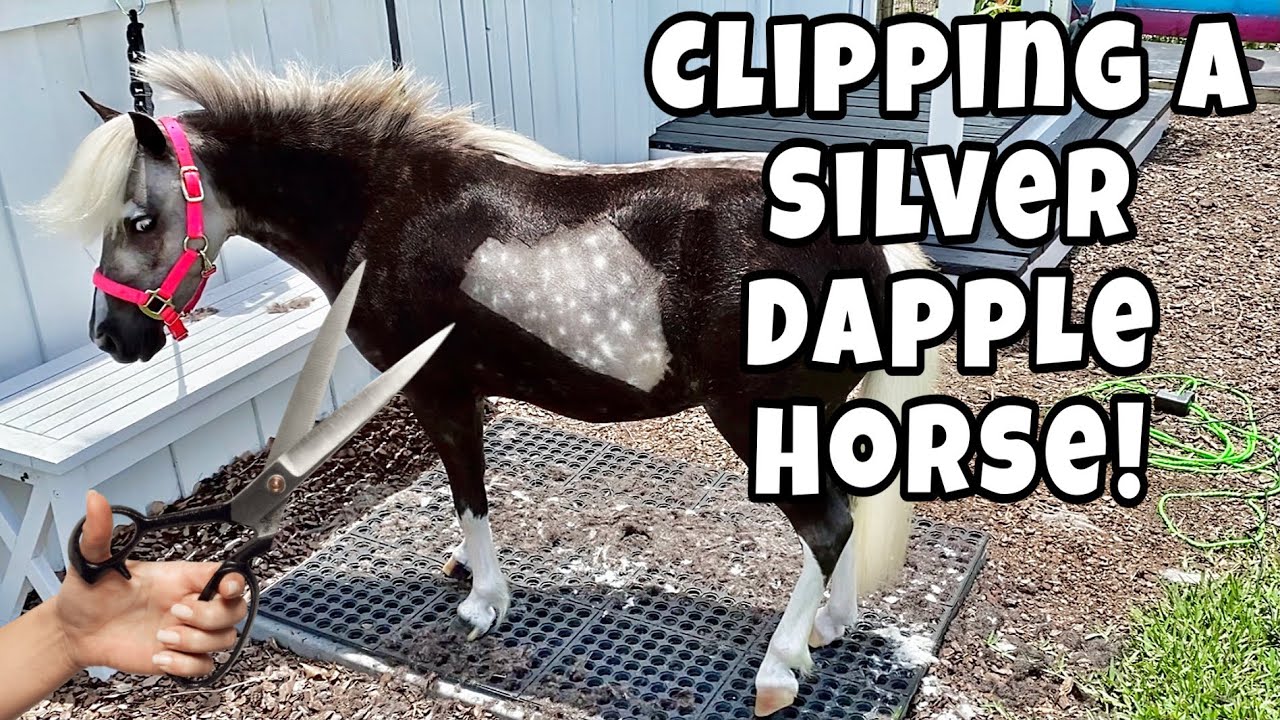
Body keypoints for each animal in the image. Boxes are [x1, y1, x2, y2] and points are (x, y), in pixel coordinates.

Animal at [31, 51, 938, 716]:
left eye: (139, 219)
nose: (111, 337)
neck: (386, 208)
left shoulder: (439, 392)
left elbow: (469, 490)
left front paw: (483, 600)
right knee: (841, 520)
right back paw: (830, 626)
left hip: (755, 416)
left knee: (825, 527)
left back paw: (780, 668)